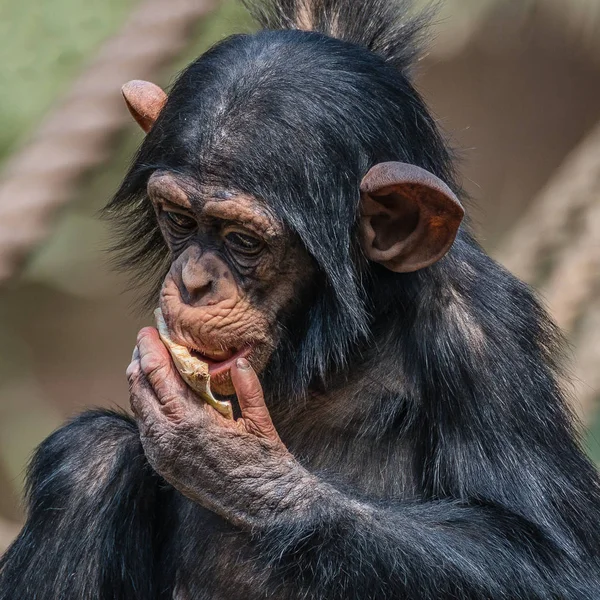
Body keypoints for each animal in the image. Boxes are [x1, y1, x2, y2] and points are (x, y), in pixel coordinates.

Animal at [1, 0, 600, 596]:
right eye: (178, 219)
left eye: (242, 241)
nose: (194, 281)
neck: (336, 347)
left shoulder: (485, 333)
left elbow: (557, 562)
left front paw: (235, 463)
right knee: (90, 457)